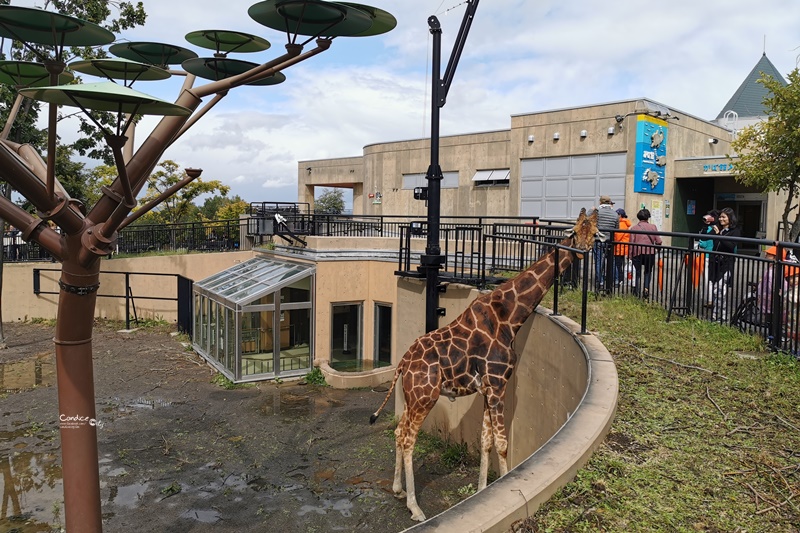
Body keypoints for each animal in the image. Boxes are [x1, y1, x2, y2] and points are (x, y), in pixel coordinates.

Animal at [372, 207, 604, 520]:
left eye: (594, 233)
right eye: (575, 231)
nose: (581, 250)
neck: (510, 316)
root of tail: (402, 364)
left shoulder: (487, 389)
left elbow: (486, 441)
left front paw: (482, 492)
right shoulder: (497, 384)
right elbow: (503, 444)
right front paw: (504, 489)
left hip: (412, 397)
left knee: (399, 432)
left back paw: (398, 489)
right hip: (425, 397)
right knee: (409, 439)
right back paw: (415, 508)